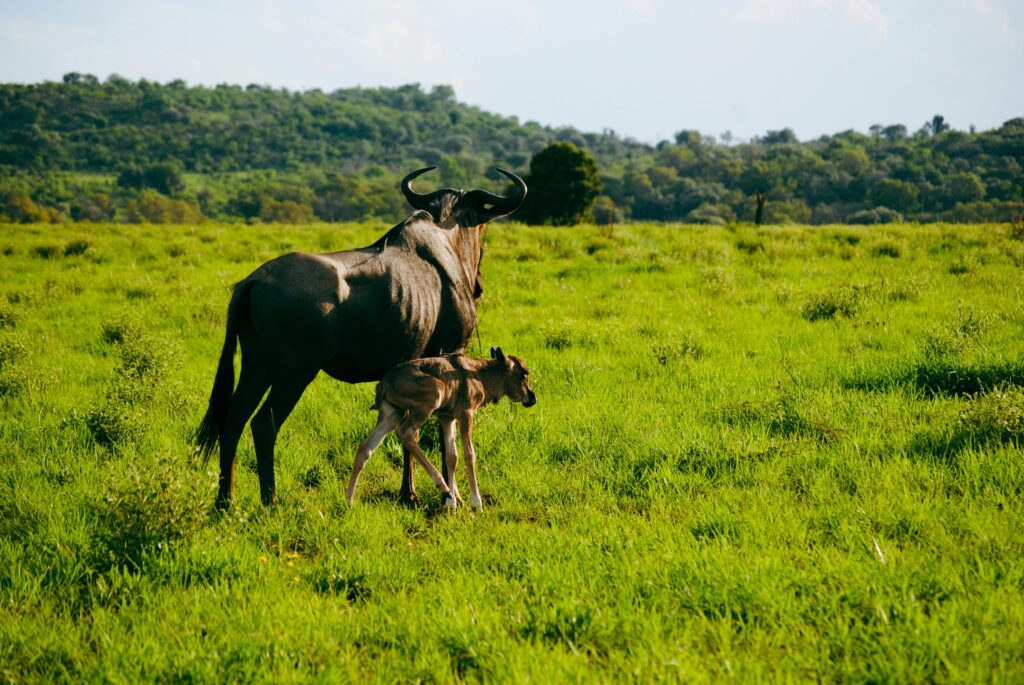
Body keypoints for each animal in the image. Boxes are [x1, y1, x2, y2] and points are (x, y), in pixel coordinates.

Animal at [346, 348, 536, 507]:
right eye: (524, 374)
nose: (532, 398)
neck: (479, 375)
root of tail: (384, 383)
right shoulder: (465, 414)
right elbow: (469, 454)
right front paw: (476, 503)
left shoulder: (447, 418)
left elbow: (451, 457)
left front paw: (452, 503)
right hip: (430, 398)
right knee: (406, 433)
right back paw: (443, 487)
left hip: (392, 414)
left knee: (366, 447)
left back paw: (349, 500)